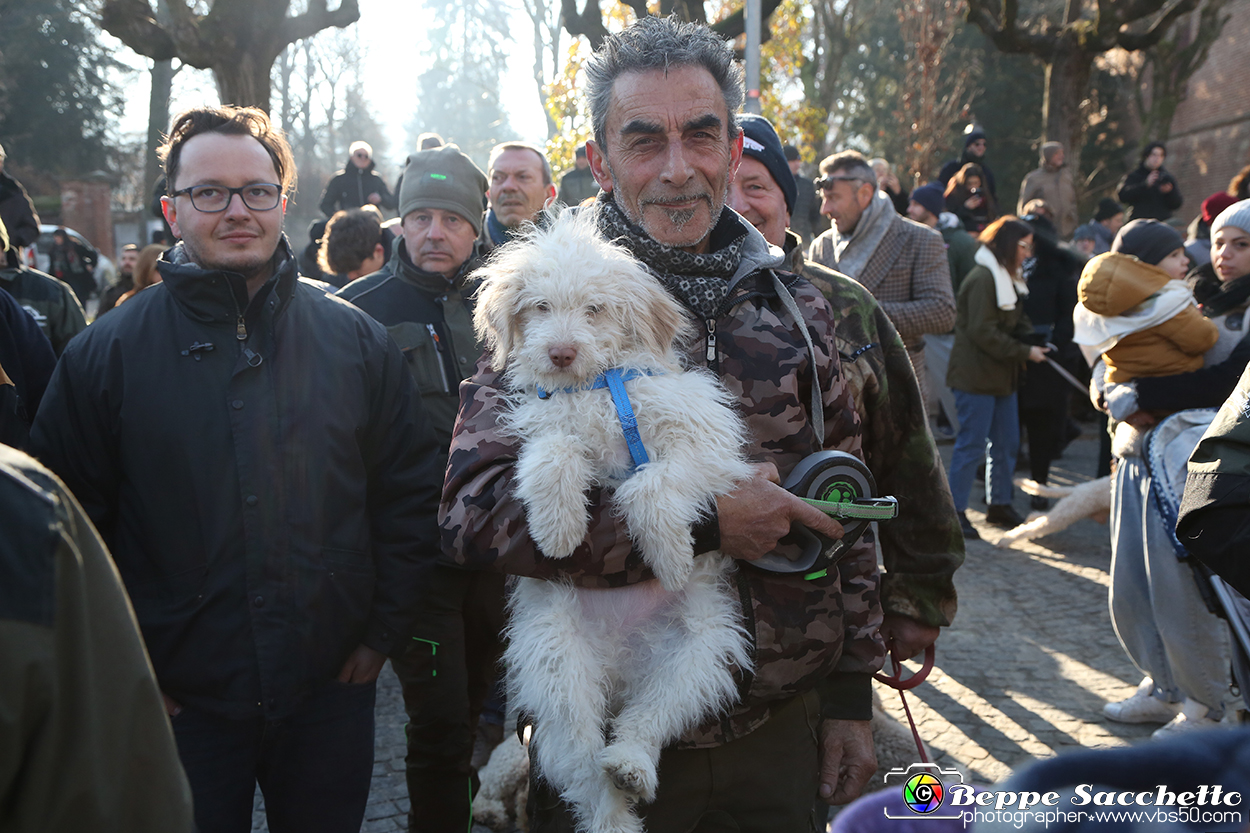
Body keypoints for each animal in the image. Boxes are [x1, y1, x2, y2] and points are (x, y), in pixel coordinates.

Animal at [472, 208, 755, 830]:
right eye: (539, 307)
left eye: (595, 309)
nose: (560, 354)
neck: (595, 387)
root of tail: (621, 668)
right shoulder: (544, 426)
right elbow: (553, 453)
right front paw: (558, 530)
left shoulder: (706, 447)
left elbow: (650, 482)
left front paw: (671, 555)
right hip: (556, 664)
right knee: (583, 769)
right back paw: (614, 811)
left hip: (700, 650)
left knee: (651, 718)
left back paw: (630, 763)